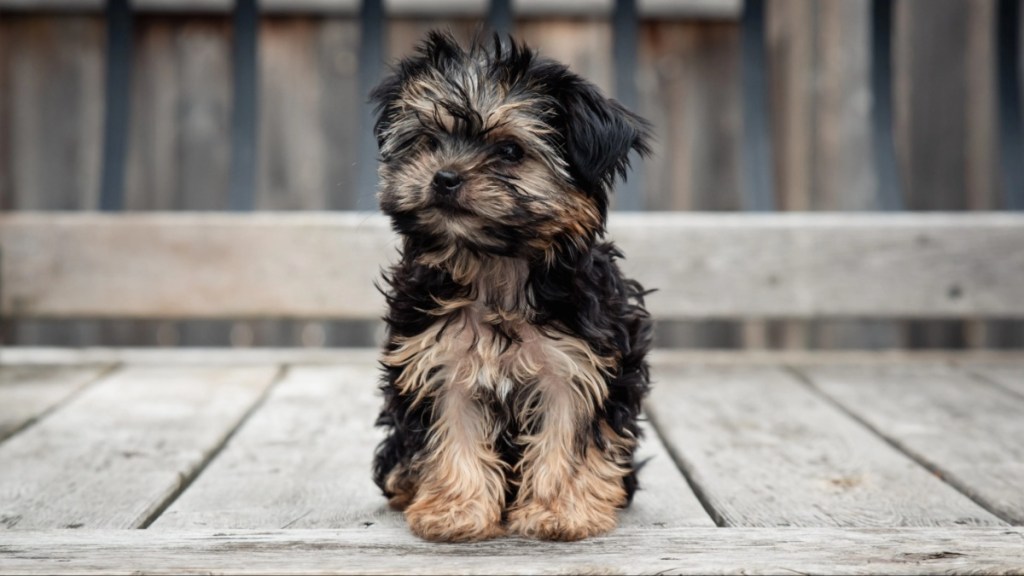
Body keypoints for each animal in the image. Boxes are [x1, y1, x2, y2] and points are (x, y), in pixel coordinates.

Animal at [372, 31, 651, 541]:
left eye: (509, 152)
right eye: (429, 141)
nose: (444, 177)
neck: (494, 267)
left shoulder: (577, 366)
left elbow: (567, 436)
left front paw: (558, 511)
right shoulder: (441, 362)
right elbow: (454, 431)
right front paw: (455, 510)